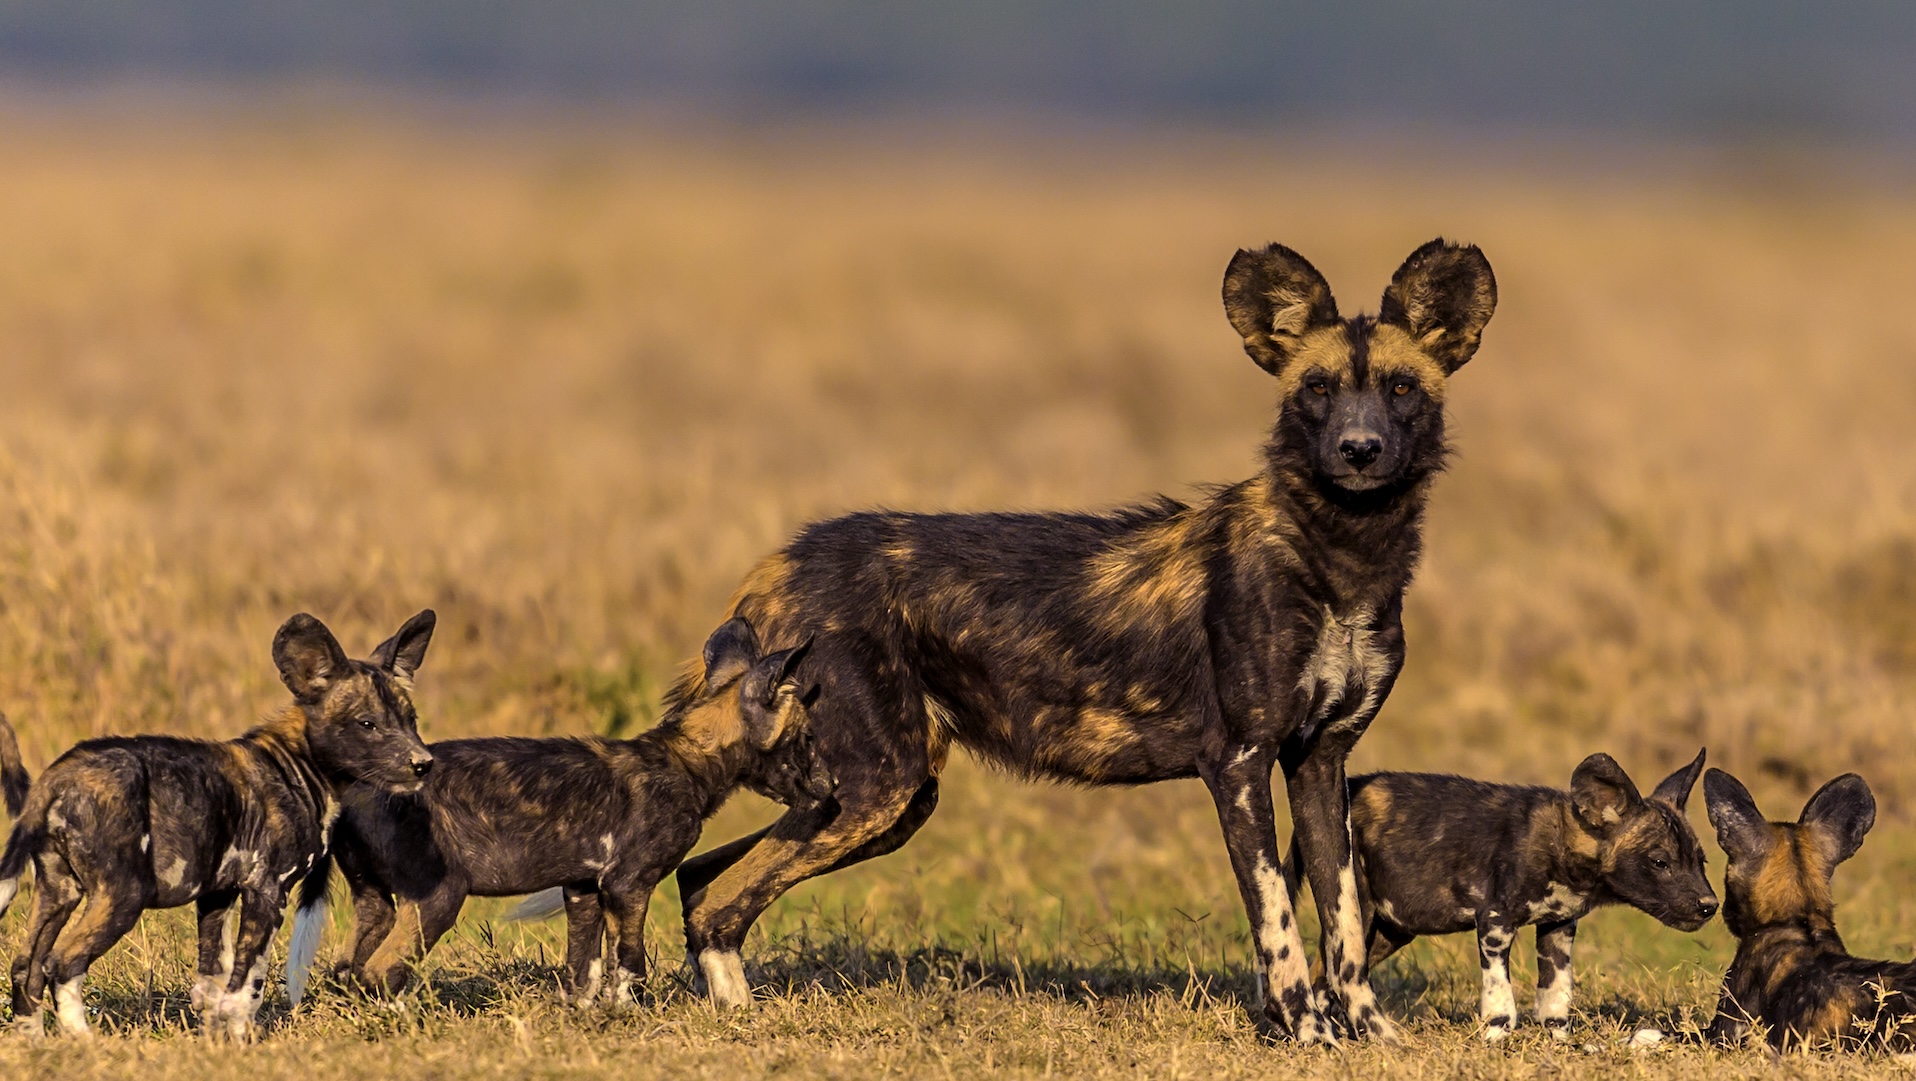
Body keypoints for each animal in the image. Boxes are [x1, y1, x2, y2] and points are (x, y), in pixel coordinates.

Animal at [0, 609, 436, 1035]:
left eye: (412, 721)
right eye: (367, 724)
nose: (423, 764)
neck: (298, 766)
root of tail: (58, 775)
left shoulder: (217, 895)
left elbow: (212, 987)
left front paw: (215, 1043)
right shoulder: (266, 892)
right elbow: (246, 990)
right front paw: (244, 1042)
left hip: (58, 891)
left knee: (26, 969)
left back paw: (36, 1042)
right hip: (122, 897)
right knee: (62, 965)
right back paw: (82, 1041)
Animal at [314, 617, 831, 1004]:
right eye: (807, 739)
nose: (835, 786)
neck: (686, 761)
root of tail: (357, 787)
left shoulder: (582, 889)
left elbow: (584, 971)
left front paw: (584, 1017)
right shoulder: (628, 885)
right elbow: (630, 967)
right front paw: (628, 1018)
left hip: (375, 903)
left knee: (348, 970)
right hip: (439, 899)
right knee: (380, 972)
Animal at [670, 238, 1494, 1035]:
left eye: (1401, 388)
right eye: (1317, 389)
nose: (1359, 449)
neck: (1341, 558)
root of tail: (780, 563)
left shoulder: (1322, 763)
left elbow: (1344, 924)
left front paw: (1372, 1036)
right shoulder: (1239, 763)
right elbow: (1280, 922)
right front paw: (1307, 1031)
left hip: (877, 800)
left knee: (699, 878)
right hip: (879, 787)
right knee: (721, 896)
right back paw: (739, 1022)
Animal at [1287, 751, 1724, 1035]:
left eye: (1700, 861)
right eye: (1660, 862)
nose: (1709, 906)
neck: (1563, 843)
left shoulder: (1558, 928)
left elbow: (1555, 1001)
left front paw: (1558, 1045)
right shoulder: (1494, 922)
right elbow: (1501, 1003)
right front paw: (1496, 1041)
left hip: (1389, 931)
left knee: (1327, 979)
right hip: (1355, 913)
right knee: (1325, 976)